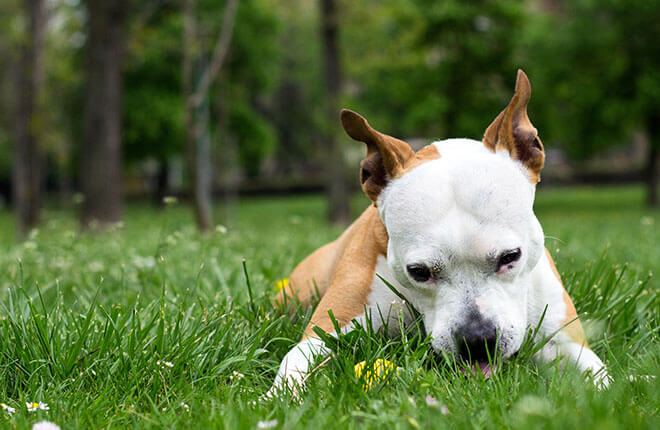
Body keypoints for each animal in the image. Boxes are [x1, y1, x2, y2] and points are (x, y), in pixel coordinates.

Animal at [268, 69, 608, 396]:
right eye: (419, 272)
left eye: (511, 257)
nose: (477, 339)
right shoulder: (326, 331)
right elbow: (294, 363)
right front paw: (276, 398)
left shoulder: (566, 343)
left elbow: (602, 382)